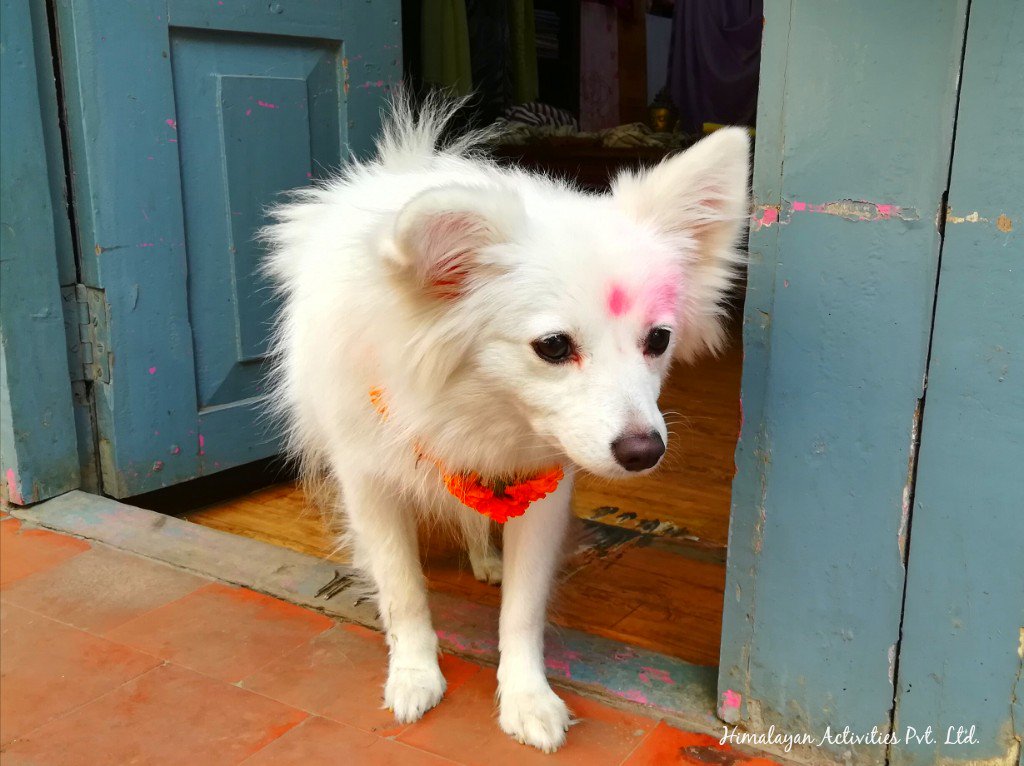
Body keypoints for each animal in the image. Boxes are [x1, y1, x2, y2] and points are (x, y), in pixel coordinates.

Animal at [260, 97, 749, 753]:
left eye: (659, 340)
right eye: (553, 347)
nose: (644, 450)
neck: (475, 406)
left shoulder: (542, 491)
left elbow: (522, 610)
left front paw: (526, 697)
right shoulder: (370, 486)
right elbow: (402, 590)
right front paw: (414, 674)